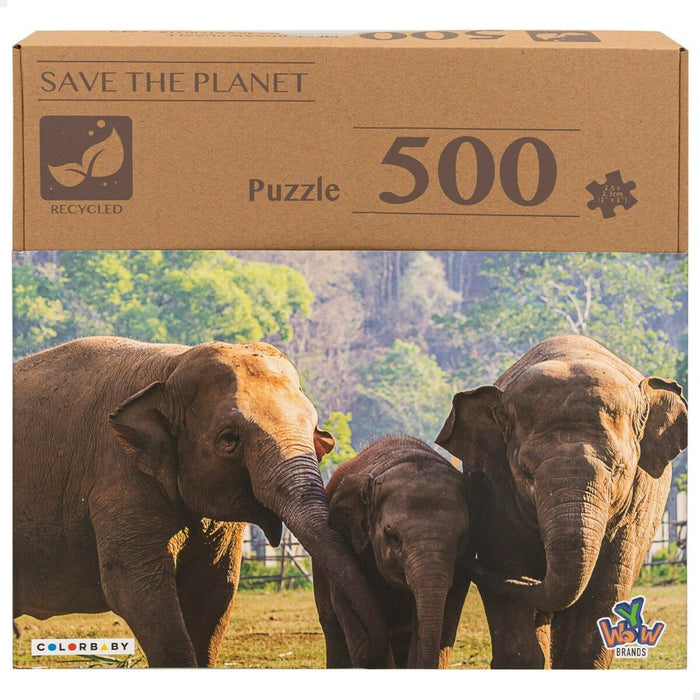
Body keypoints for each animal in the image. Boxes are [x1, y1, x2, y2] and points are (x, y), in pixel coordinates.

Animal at [13, 336, 388, 667]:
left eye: (313, 430)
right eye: (229, 439)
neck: (171, 366)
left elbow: (214, 592)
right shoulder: (117, 478)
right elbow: (133, 590)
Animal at [436, 335, 687, 669]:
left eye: (618, 470)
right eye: (526, 473)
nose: (465, 561)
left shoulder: (637, 504)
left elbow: (607, 584)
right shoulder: (495, 492)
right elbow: (504, 563)